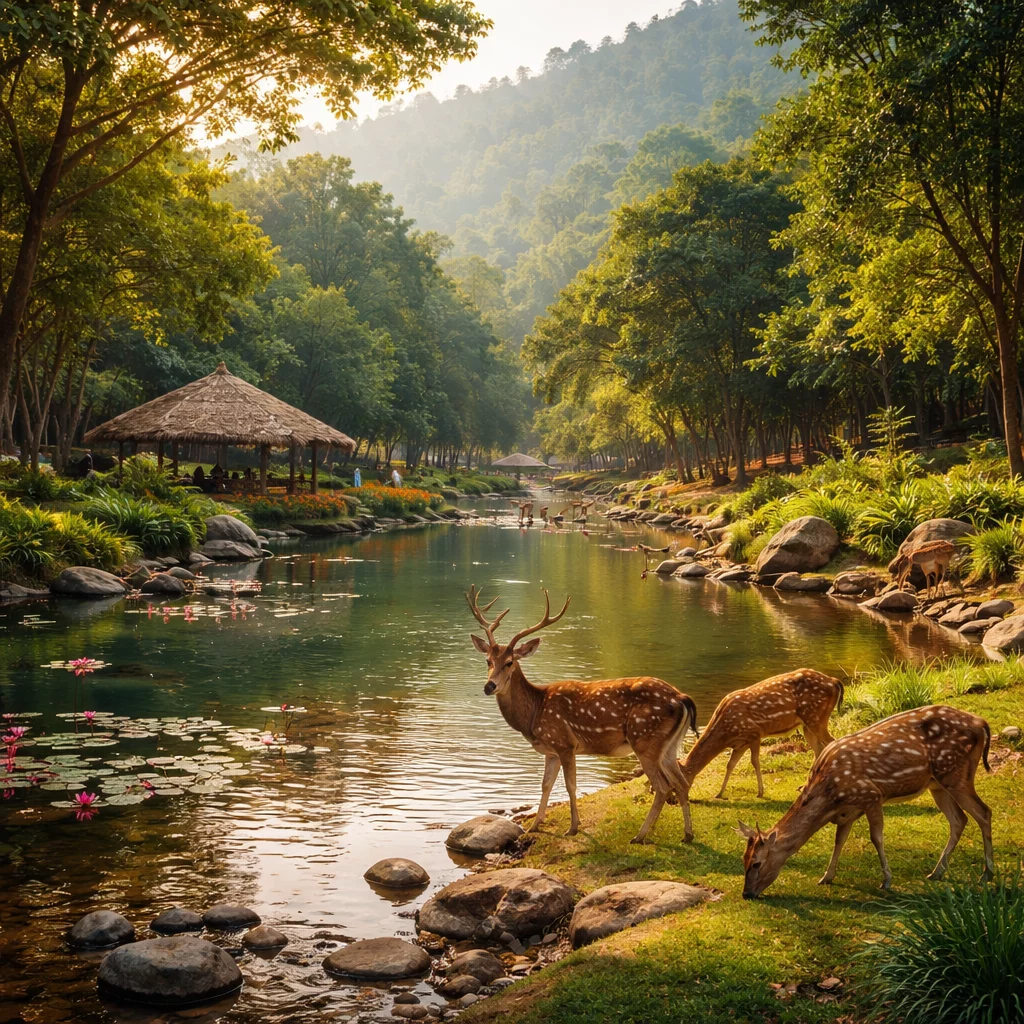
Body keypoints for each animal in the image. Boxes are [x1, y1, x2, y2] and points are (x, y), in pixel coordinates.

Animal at [467, 585, 699, 842]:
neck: (535, 713)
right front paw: (534, 826)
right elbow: (545, 785)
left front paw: (573, 827)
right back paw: (687, 834)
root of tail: (682, 698)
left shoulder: (565, 743)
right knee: (681, 781)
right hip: (668, 746)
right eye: (488, 660)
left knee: (662, 786)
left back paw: (640, 835)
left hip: (645, 740)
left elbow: (570, 786)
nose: (489, 686)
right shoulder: (551, 751)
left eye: (509, 662)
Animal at [681, 669, 844, 800]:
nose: (676, 801)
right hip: (807, 725)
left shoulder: (754, 733)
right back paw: (804, 787)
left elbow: (755, 762)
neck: (725, 733)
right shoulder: (740, 744)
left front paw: (760, 792)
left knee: (831, 742)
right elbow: (730, 765)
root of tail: (834, 681)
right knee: (819, 749)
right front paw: (719, 793)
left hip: (816, 718)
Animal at [738, 705, 994, 898]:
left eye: (756, 863)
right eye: (743, 859)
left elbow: (876, 838)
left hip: (956, 774)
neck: (830, 795)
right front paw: (826, 877)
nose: (747, 894)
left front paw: (886, 880)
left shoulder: (872, 795)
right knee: (959, 819)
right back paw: (937, 872)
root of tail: (982, 722)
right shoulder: (847, 812)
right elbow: (839, 841)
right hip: (937, 785)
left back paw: (987, 873)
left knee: (984, 812)